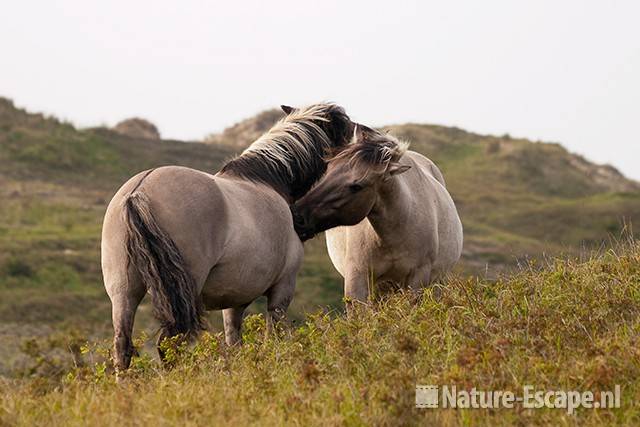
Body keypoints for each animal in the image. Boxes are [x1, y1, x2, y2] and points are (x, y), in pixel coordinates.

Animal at [102, 103, 358, 372]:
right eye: (345, 128)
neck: (270, 181)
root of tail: (138, 191)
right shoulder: (282, 289)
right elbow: (273, 337)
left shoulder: (234, 300)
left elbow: (234, 343)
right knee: (169, 344)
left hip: (123, 293)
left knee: (122, 345)